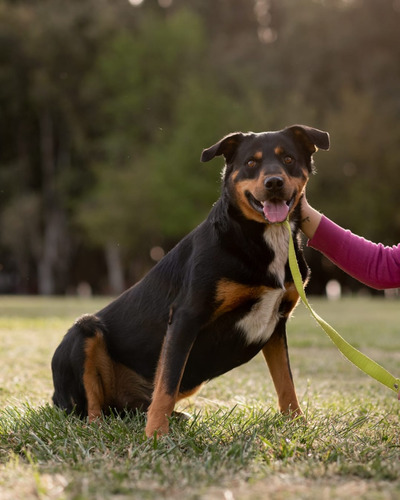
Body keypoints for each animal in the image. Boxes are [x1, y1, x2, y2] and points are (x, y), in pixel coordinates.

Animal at [51, 123, 330, 436]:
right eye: (251, 163)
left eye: (289, 159)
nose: (273, 183)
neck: (264, 237)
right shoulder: (187, 316)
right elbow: (167, 383)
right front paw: (156, 434)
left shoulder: (277, 323)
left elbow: (286, 382)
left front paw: (297, 424)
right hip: (83, 332)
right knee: (91, 407)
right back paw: (99, 426)